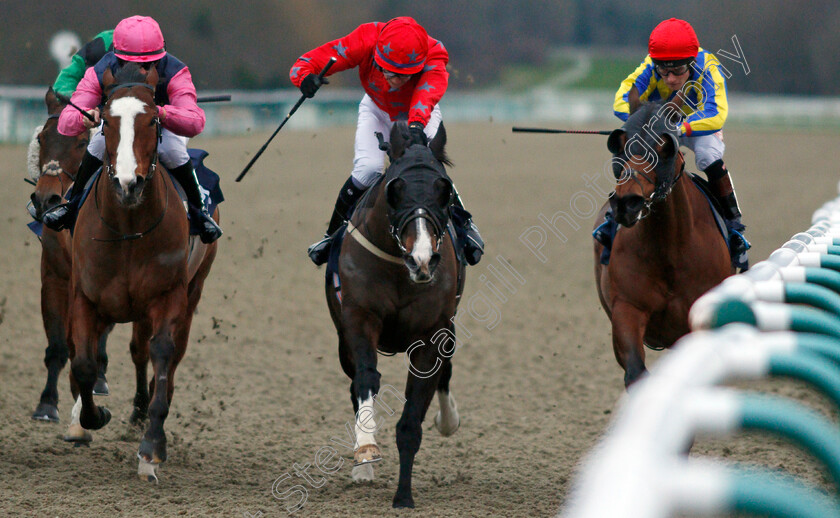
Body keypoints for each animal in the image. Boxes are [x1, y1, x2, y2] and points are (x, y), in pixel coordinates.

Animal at [66, 65, 220, 484]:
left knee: (167, 356)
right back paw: (134, 411)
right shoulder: (85, 297)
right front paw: (95, 416)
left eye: (153, 120)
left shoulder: (169, 296)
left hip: (193, 292)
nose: (128, 184)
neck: (128, 228)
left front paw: (152, 448)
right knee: (136, 352)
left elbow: (163, 356)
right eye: (105, 121)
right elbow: (85, 365)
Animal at [324, 123, 466, 512]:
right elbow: (366, 379)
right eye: (395, 189)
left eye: (445, 191)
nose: (422, 259)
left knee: (446, 373)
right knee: (356, 383)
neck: (400, 269)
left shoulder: (432, 335)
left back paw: (448, 420)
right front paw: (365, 451)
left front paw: (403, 496)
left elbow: (411, 421)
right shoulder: (358, 318)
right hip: (342, 341)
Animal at [592, 101, 732, 388]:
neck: (669, 250)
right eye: (621, 146)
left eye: (664, 147)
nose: (627, 203)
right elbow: (636, 371)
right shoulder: (627, 308)